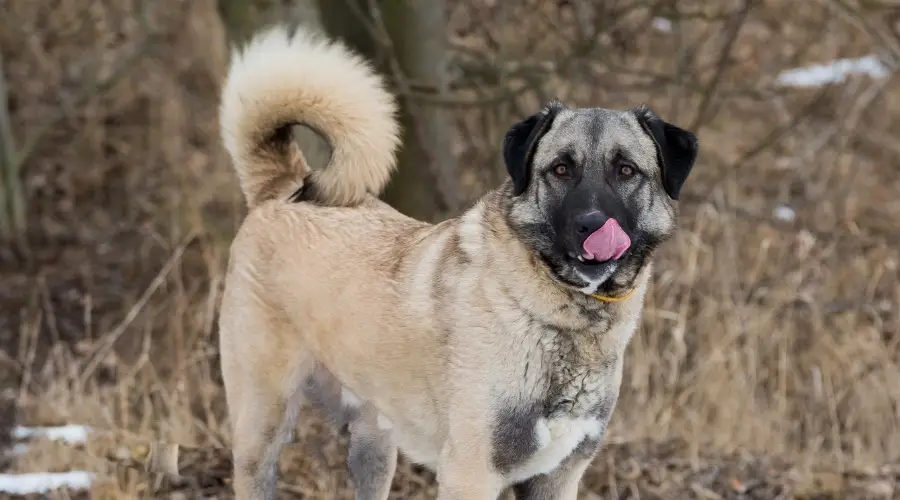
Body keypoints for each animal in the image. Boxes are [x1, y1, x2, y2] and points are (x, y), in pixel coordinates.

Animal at [214, 24, 700, 500]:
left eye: (626, 171)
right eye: (561, 169)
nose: (592, 225)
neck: (560, 315)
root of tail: (283, 186)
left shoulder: (558, 478)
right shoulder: (471, 472)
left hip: (375, 445)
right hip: (261, 429)